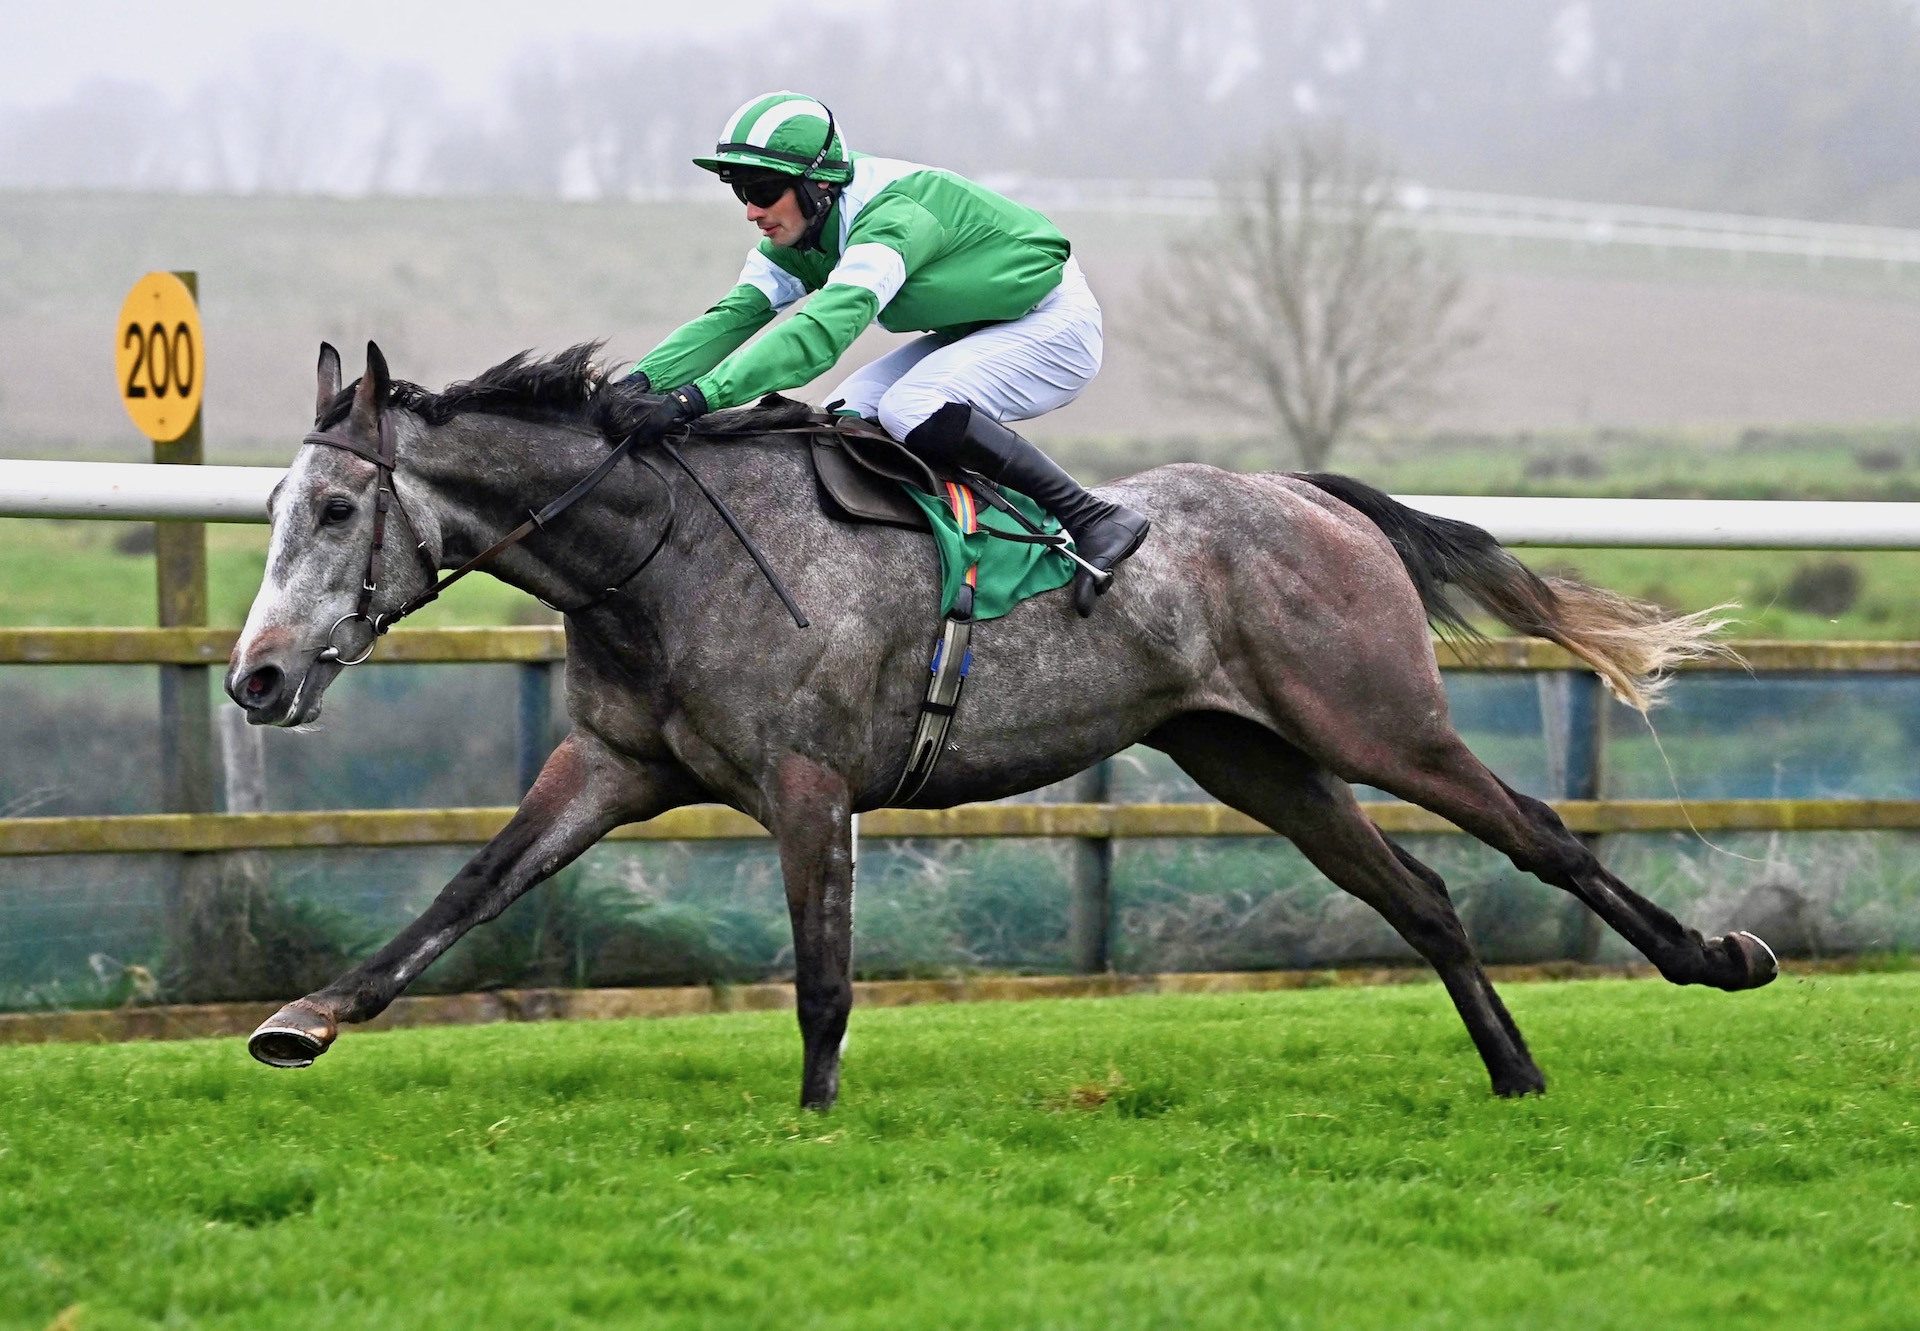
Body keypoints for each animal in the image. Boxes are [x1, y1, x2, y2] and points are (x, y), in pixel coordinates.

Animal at [228, 338, 1781, 1106]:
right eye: (276, 504)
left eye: (339, 508)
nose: (257, 679)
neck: (661, 550)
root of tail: (1307, 493)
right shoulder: (612, 764)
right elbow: (468, 888)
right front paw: (303, 1017)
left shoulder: (808, 781)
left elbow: (824, 975)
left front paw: (815, 1119)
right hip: (1254, 756)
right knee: (1425, 895)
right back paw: (1515, 1070)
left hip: (1374, 719)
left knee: (1539, 835)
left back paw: (1717, 957)